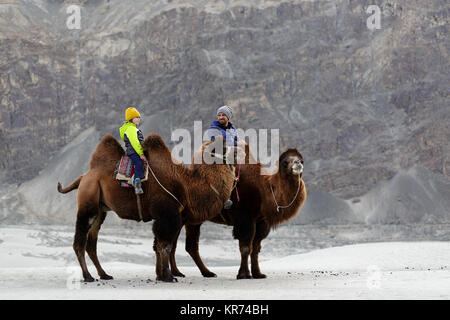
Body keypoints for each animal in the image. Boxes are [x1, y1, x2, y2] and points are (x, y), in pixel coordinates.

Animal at [57, 132, 236, 282]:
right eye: (220, 146)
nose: (235, 150)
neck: (187, 185)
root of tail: (83, 177)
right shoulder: (168, 215)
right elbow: (165, 245)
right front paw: (168, 276)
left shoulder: (164, 218)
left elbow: (158, 245)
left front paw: (160, 275)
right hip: (88, 202)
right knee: (79, 241)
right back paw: (88, 276)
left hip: (101, 210)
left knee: (91, 243)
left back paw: (104, 274)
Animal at [171, 144, 308, 278]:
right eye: (285, 162)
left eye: (301, 160)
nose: (297, 164)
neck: (263, 190)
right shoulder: (244, 218)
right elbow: (246, 247)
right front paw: (244, 274)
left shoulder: (261, 222)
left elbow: (256, 248)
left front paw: (258, 273)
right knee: (179, 243)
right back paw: (182, 272)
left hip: (193, 219)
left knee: (188, 245)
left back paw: (201, 273)